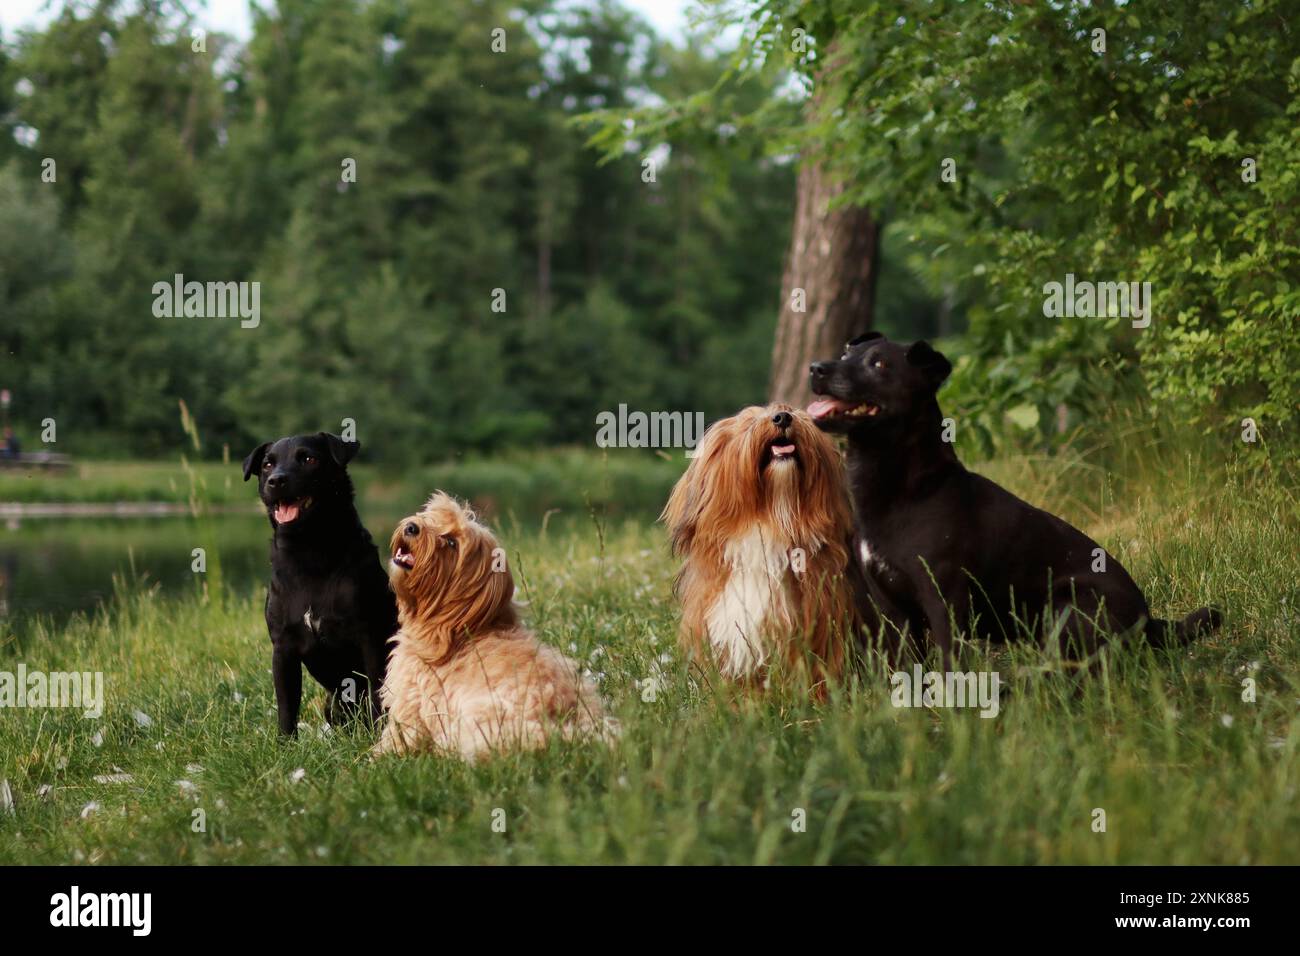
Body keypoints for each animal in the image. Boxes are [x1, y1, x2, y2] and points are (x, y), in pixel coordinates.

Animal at [241, 434, 397, 738]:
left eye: (309, 459)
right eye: (267, 464)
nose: (276, 480)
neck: (308, 552)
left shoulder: (369, 638)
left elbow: (377, 693)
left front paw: (377, 738)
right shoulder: (283, 647)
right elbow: (286, 706)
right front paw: (285, 744)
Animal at [377, 494, 613, 764]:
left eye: (451, 543)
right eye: (432, 516)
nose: (412, 527)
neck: (460, 629)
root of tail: (563, 725)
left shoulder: (410, 705)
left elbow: (397, 739)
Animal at [806, 335, 1222, 665]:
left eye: (879, 364)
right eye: (846, 353)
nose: (816, 368)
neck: (907, 488)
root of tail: (1149, 622)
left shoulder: (943, 599)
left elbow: (950, 665)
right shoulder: (893, 607)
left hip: (1069, 608)